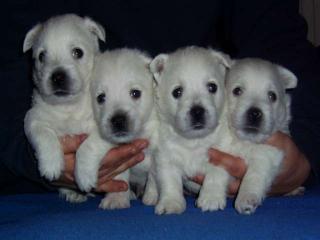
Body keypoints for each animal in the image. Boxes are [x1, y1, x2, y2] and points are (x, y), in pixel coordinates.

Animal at [24, 13, 106, 202]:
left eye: (78, 52)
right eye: (41, 56)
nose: (58, 76)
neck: (68, 107)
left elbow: (89, 146)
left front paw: (84, 176)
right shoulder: (33, 118)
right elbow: (44, 135)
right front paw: (51, 165)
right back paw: (72, 193)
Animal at [76, 49, 159, 210]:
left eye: (135, 93)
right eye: (100, 98)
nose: (118, 120)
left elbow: (154, 175)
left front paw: (153, 197)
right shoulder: (119, 158)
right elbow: (120, 177)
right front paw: (117, 199)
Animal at [150, 46, 232, 214]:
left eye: (212, 87)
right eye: (177, 92)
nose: (197, 111)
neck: (194, 141)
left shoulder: (223, 152)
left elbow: (216, 173)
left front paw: (211, 199)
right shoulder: (166, 157)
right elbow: (170, 181)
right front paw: (171, 203)